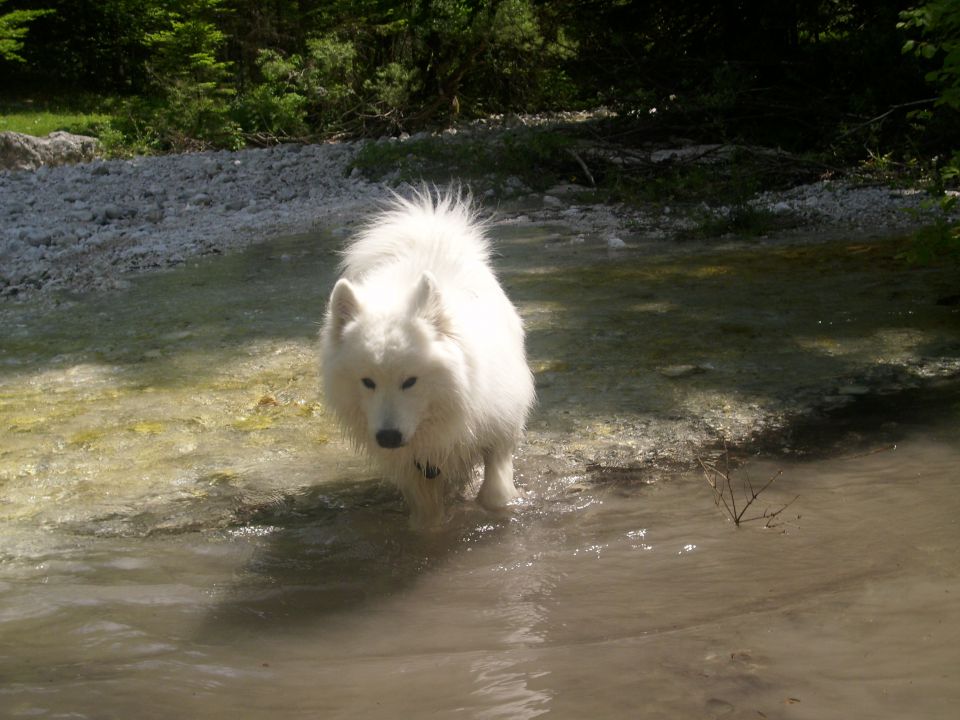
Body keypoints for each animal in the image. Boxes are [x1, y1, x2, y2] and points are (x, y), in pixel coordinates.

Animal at [320, 188, 532, 524]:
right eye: (367, 382)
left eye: (410, 381)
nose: (388, 437)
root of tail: (429, 235)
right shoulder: (414, 470)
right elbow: (427, 519)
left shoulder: (499, 430)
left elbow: (495, 492)